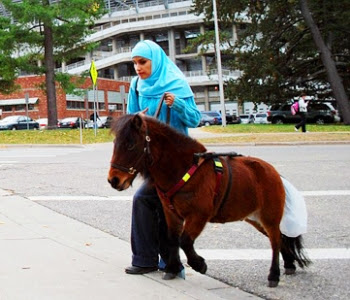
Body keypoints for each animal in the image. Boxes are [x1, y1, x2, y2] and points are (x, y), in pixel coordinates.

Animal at [108, 113, 310, 288]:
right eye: (116, 143)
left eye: (130, 144)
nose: (114, 180)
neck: (183, 170)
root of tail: (274, 173)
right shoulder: (171, 213)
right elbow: (173, 239)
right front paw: (172, 269)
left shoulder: (199, 215)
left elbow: (184, 240)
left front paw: (199, 264)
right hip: (255, 219)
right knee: (280, 238)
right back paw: (289, 265)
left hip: (269, 217)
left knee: (275, 240)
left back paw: (273, 275)